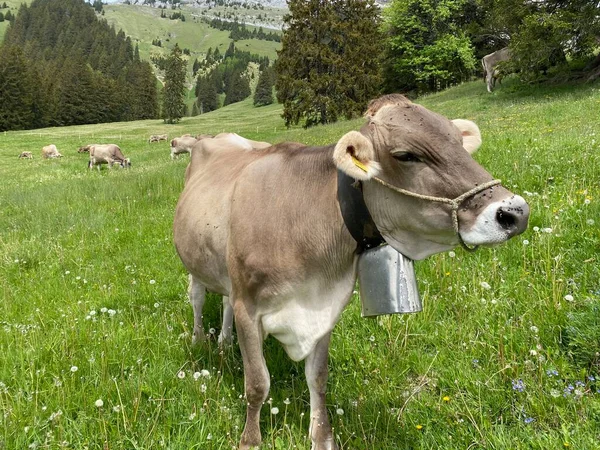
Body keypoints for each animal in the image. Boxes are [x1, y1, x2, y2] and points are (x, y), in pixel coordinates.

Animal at [172, 93, 528, 448]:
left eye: (458, 142)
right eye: (406, 155)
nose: (515, 212)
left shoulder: (323, 305)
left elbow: (318, 377)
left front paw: (322, 436)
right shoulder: (248, 306)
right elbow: (257, 384)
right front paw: (250, 440)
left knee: (224, 301)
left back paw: (224, 342)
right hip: (194, 264)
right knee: (198, 298)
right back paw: (200, 339)